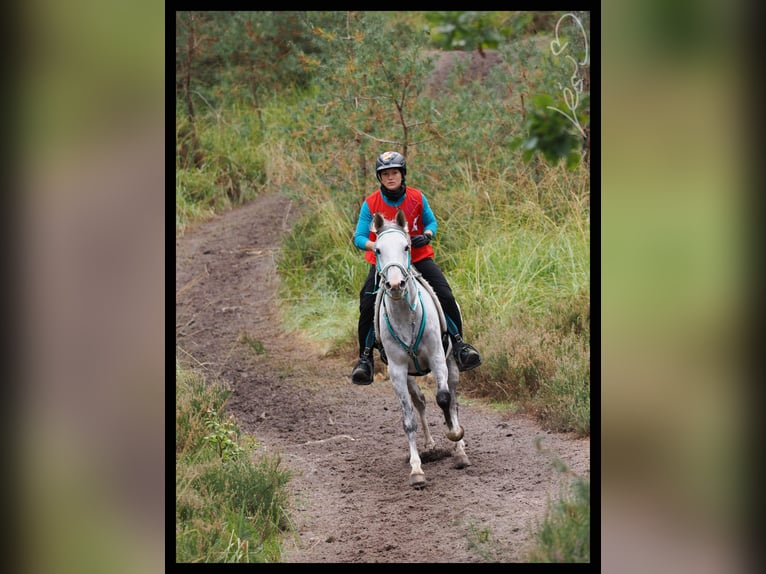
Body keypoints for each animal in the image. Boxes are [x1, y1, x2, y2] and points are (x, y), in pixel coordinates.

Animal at [374, 209, 474, 488]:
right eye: (377, 250)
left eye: (407, 246)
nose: (395, 285)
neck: (404, 313)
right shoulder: (397, 371)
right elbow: (408, 419)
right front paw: (416, 469)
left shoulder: (438, 358)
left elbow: (444, 399)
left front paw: (455, 436)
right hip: (409, 376)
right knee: (419, 402)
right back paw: (429, 445)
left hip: (452, 363)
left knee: (452, 399)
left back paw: (459, 447)